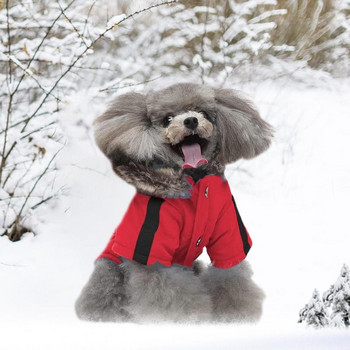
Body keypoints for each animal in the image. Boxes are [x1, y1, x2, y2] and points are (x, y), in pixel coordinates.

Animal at [76, 82, 274, 322]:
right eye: (168, 119)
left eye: (203, 112)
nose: (190, 121)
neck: (196, 183)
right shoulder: (152, 244)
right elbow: (169, 295)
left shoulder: (229, 232)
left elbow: (231, 278)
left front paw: (232, 318)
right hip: (111, 270)